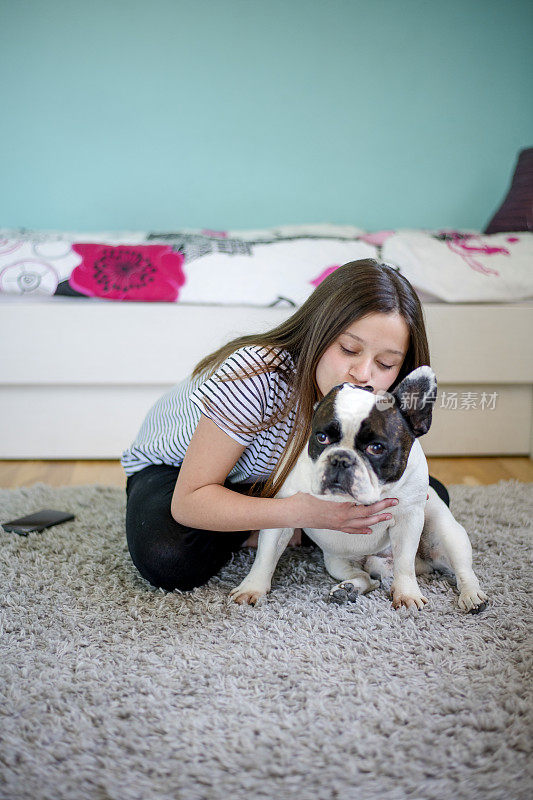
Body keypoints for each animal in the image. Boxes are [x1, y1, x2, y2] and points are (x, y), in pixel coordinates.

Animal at [229, 368, 486, 612]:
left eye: (376, 448)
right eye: (321, 437)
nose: (341, 459)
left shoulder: (409, 519)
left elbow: (404, 563)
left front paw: (406, 595)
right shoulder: (284, 514)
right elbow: (265, 556)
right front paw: (252, 588)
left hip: (447, 535)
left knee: (462, 570)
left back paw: (472, 596)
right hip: (337, 561)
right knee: (367, 579)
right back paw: (348, 589)